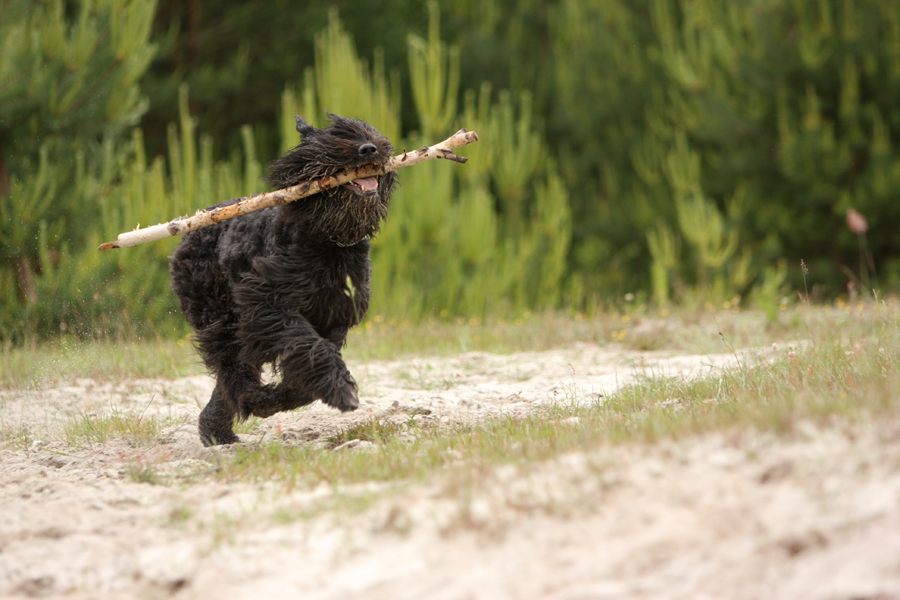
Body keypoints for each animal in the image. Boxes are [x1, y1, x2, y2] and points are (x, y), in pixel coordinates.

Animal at [171, 113, 396, 446]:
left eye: (370, 133)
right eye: (332, 138)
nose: (369, 149)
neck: (327, 241)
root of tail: (192, 226)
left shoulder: (335, 316)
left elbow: (311, 360)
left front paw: (292, 395)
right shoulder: (267, 302)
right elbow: (308, 345)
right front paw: (340, 390)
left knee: (231, 375)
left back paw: (218, 428)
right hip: (220, 316)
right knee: (231, 367)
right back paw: (249, 403)